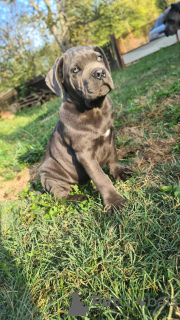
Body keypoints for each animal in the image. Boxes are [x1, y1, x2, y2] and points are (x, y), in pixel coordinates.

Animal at [39, 45, 131, 214]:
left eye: (99, 58)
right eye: (75, 70)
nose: (100, 72)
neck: (95, 108)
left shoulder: (110, 135)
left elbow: (113, 157)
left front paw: (119, 172)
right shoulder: (85, 153)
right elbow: (101, 177)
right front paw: (114, 202)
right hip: (48, 172)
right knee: (60, 196)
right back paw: (78, 198)